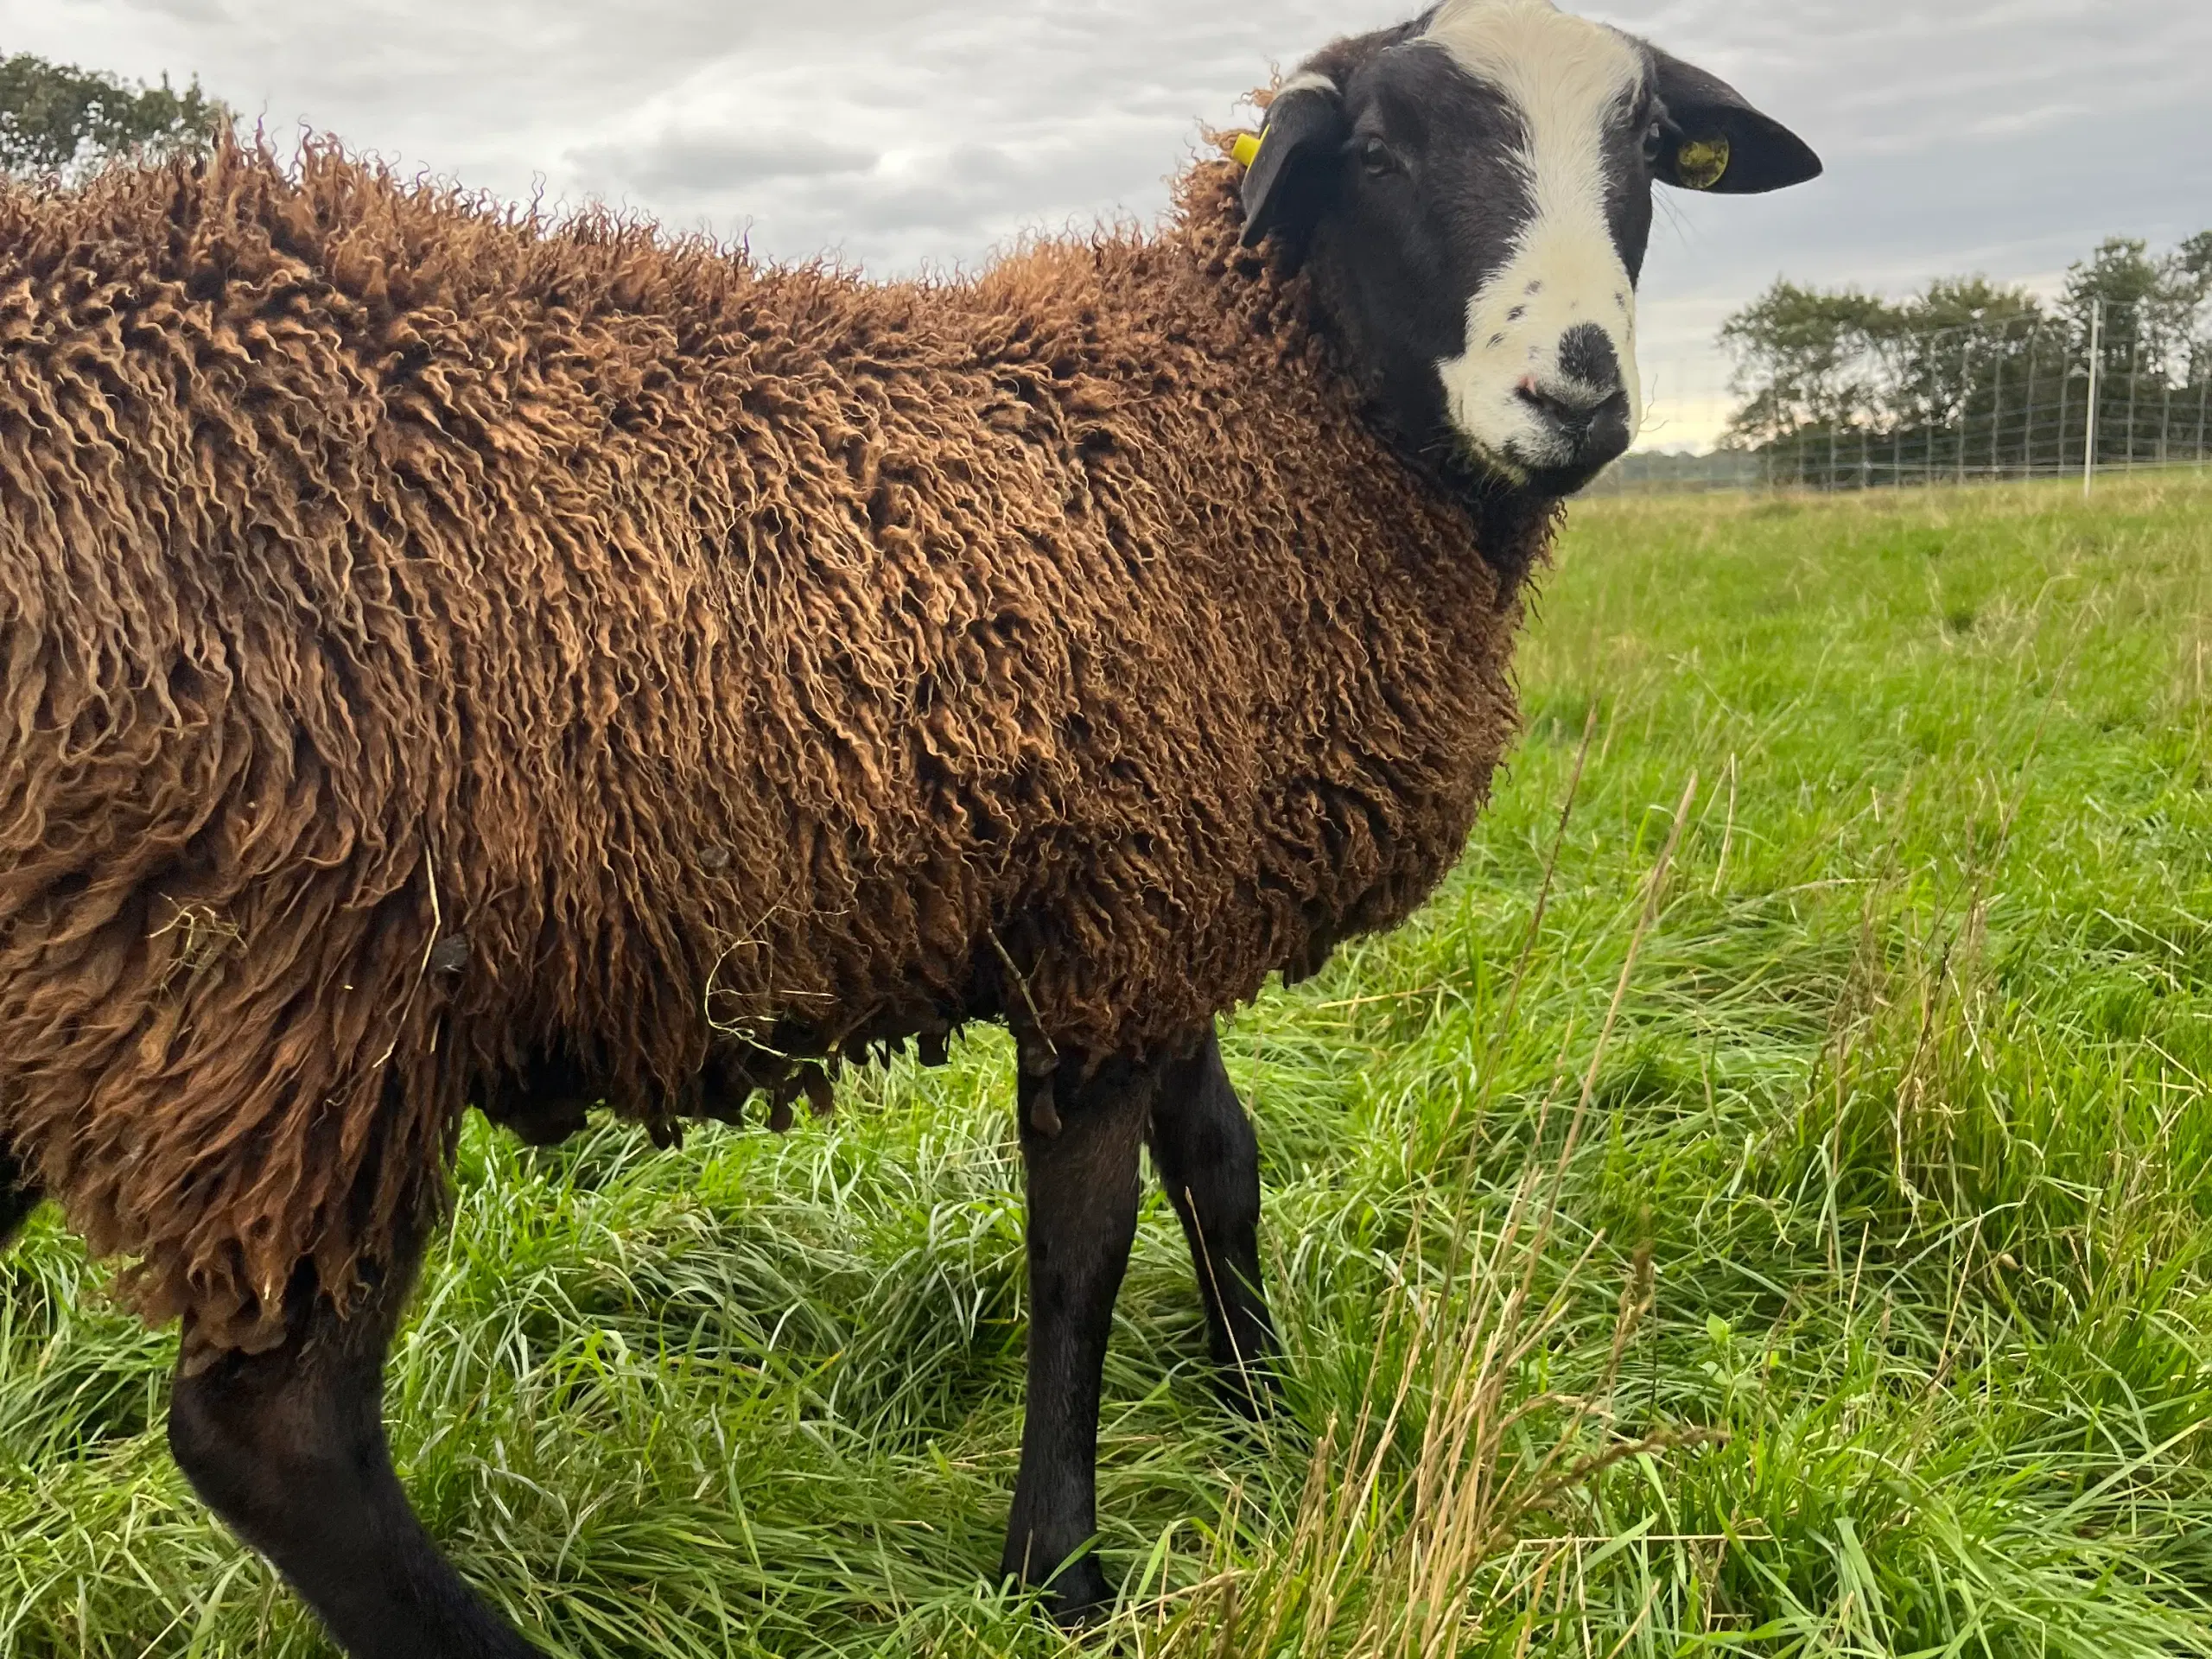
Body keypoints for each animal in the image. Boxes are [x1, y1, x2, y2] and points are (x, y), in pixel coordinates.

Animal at [0, 0, 1814, 1654]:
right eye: (1378, 149)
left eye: (1648, 149)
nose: (1573, 389)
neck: (1245, 419)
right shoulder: (1124, 928)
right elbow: (1080, 1257)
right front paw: (1060, 1570)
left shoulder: (1160, 896)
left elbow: (1222, 1164)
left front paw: (1263, 1419)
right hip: (279, 988)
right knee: (274, 1431)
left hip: (107, 989)